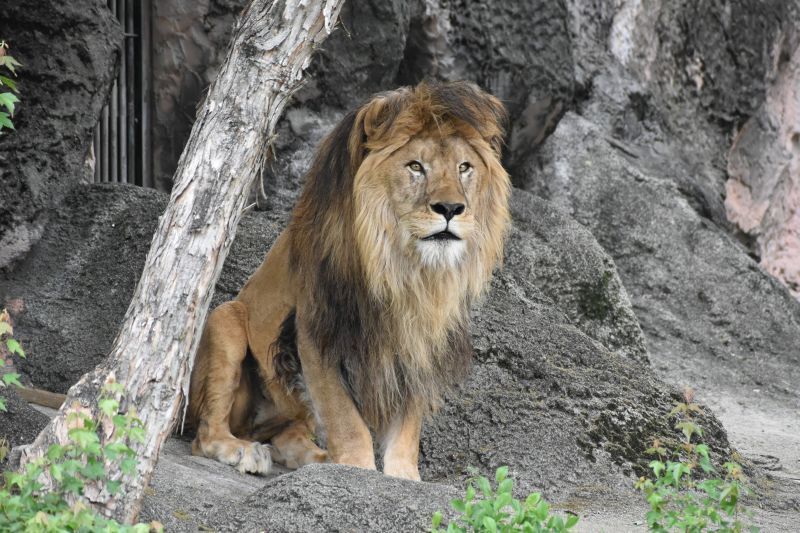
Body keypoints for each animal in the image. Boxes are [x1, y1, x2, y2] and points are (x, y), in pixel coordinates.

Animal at [188, 80, 510, 478]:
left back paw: (313, 457)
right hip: (226, 320)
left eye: (464, 167)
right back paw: (243, 451)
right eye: (416, 166)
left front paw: (404, 476)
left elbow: (408, 423)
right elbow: (345, 418)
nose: (450, 208)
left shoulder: (420, 337)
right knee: (205, 434)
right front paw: (357, 470)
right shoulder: (316, 330)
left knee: (287, 432)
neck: (403, 267)